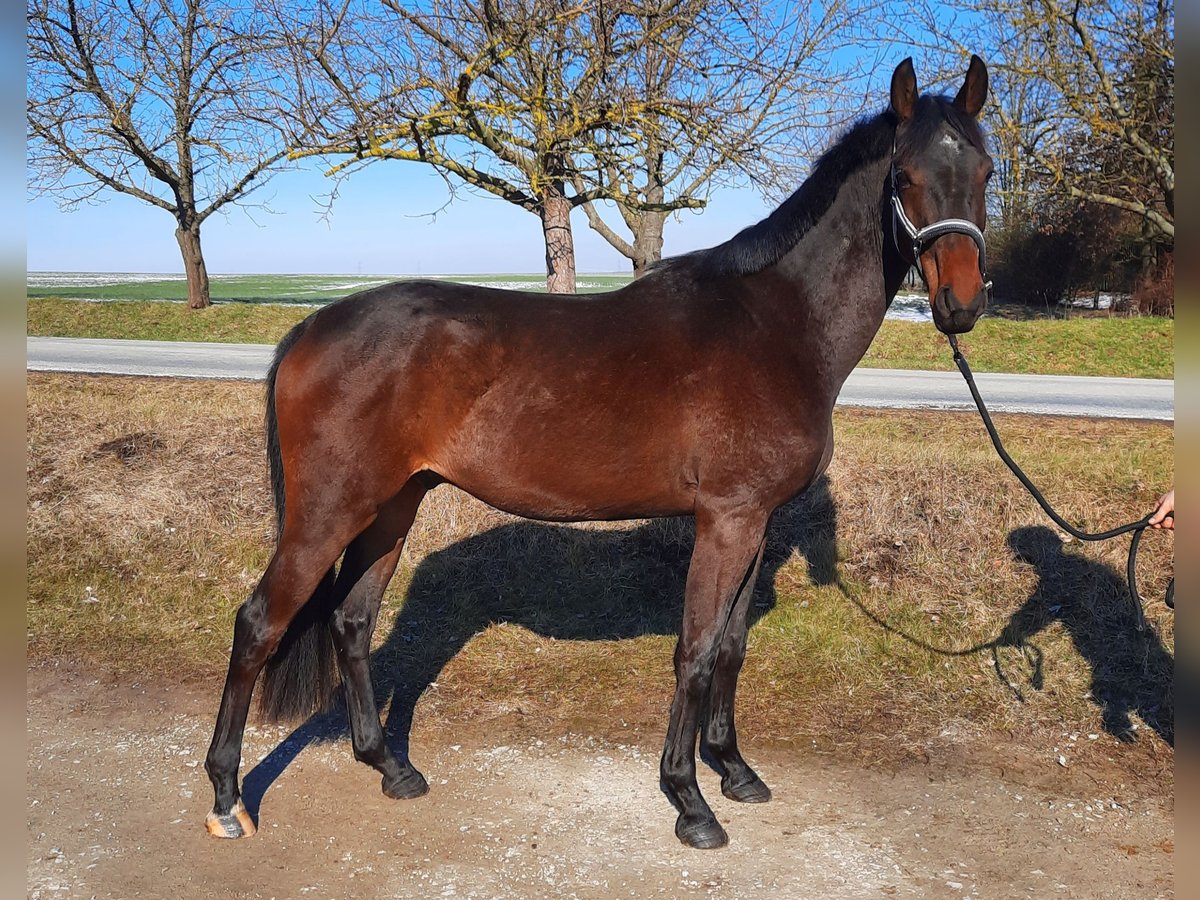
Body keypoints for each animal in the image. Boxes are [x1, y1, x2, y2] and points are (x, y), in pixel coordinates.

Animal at [204, 56, 993, 854]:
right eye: (905, 176)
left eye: (987, 171)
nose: (962, 304)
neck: (775, 324)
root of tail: (312, 329)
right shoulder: (727, 520)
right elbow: (696, 652)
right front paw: (690, 802)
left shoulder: (756, 522)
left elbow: (732, 647)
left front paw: (736, 772)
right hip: (328, 513)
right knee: (258, 624)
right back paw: (227, 797)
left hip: (391, 508)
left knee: (351, 623)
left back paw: (391, 768)